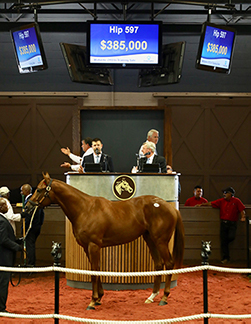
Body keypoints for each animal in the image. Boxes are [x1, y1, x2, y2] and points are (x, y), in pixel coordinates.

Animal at [26, 173, 184, 310]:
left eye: (39, 189)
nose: (28, 206)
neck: (85, 209)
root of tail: (170, 208)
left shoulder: (94, 246)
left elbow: (94, 271)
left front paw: (92, 301)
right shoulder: (87, 247)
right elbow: (95, 269)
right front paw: (99, 298)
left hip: (161, 241)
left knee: (169, 263)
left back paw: (164, 298)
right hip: (150, 239)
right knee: (158, 264)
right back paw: (151, 297)